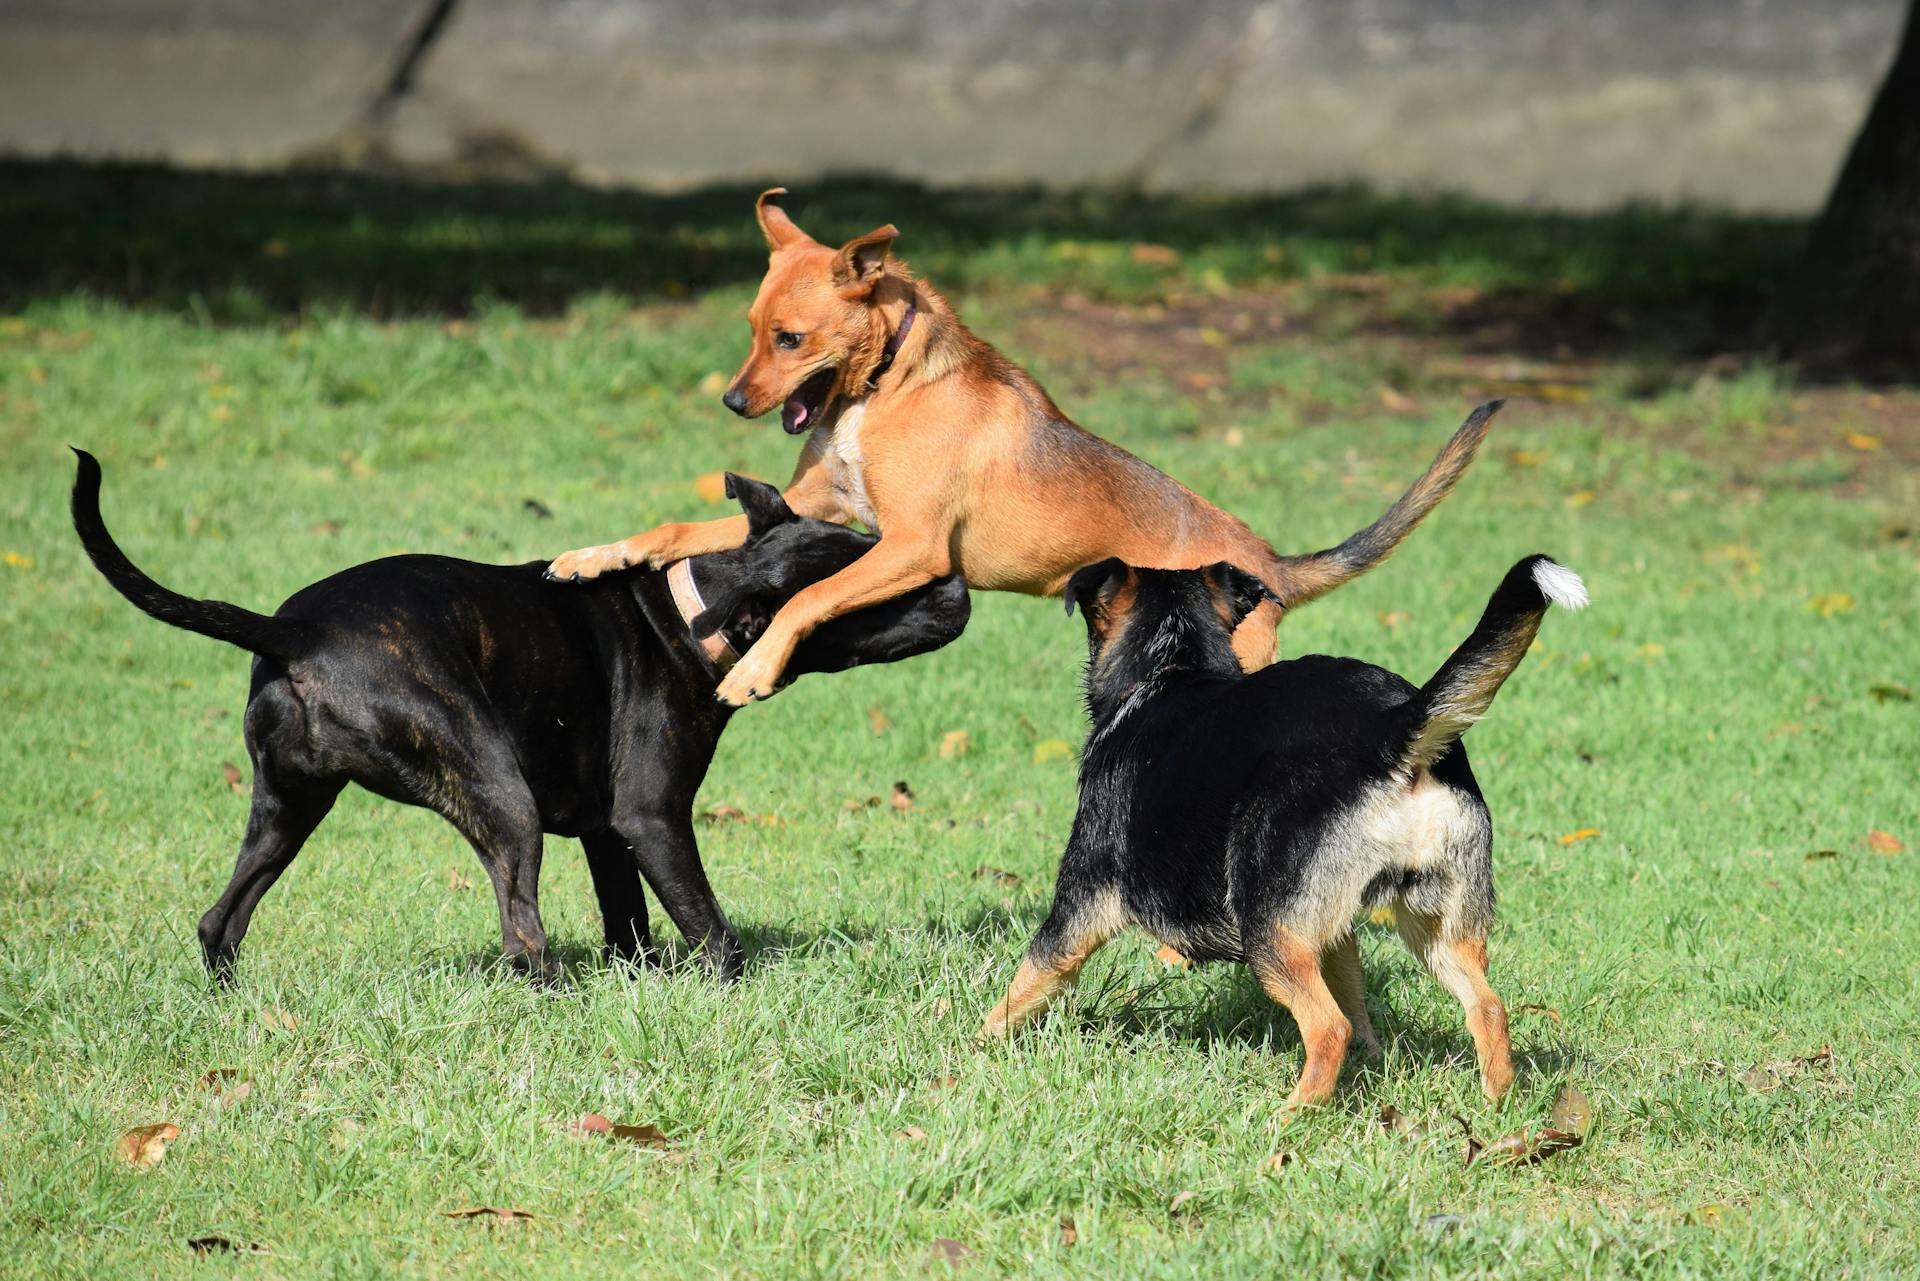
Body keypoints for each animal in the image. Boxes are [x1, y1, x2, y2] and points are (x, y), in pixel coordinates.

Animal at [67, 455, 967, 990]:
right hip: (499, 797)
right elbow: (712, 928)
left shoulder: (610, 834)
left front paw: (641, 984)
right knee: (522, 931)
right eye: (873, 589)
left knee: (221, 918)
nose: (957, 581)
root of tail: (294, 630)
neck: (689, 608)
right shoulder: (653, 818)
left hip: (286, 810)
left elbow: (630, 924)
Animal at [552, 190, 1497, 706]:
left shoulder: (911, 547)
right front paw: (593, 554)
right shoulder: (812, 511)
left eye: (790, 339)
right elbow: (672, 531)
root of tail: (1268, 563)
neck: (885, 385)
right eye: (751, 328)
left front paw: (751, 670)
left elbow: (802, 600)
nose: (732, 400)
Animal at [983, 556, 1582, 1106]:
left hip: (1267, 926)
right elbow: (1355, 992)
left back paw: (1290, 1118)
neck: (1170, 669)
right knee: (1486, 1006)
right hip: (1439, 925)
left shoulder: (1079, 906)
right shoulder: (1333, 929)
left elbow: (1027, 981)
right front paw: (1373, 1057)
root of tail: (1391, 728)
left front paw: (978, 1047)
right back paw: (1495, 1107)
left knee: (1327, 1027)